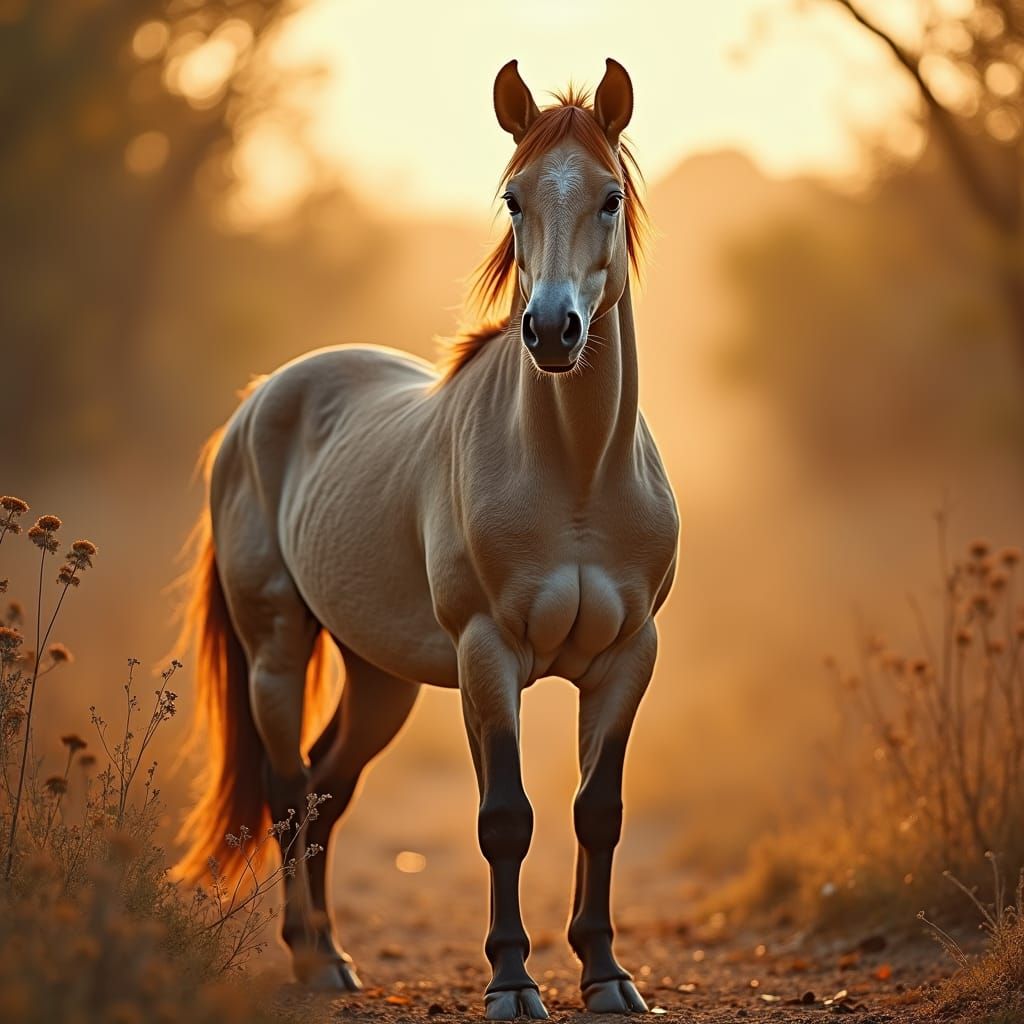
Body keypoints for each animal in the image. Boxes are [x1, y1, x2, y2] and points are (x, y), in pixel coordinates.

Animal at [176, 58, 679, 1019]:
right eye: (515, 197)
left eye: (607, 198)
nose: (552, 330)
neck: (577, 478)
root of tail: (262, 398)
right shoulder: (489, 654)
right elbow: (505, 818)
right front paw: (513, 980)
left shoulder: (628, 657)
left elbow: (598, 811)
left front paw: (606, 973)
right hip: (276, 649)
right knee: (289, 789)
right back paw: (315, 959)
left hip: (381, 679)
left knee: (327, 791)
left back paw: (332, 953)